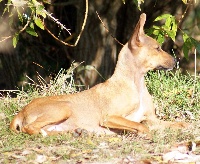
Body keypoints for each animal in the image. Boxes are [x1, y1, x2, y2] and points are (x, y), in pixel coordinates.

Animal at [9, 12, 188, 136]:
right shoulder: (109, 117)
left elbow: (178, 124)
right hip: (64, 108)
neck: (135, 83)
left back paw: (76, 133)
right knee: (30, 128)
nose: (176, 60)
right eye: (157, 48)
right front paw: (141, 133)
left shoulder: (153, 120)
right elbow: (140, 125)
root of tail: (21, 112)